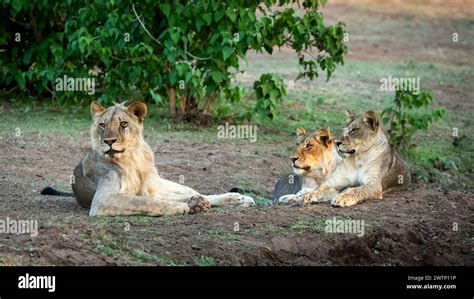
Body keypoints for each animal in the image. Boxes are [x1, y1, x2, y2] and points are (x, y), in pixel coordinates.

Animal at [42, 102, 254, 217]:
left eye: (123, 124)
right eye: (102, 125)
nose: (109, 141)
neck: (132, 158)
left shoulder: (149, 190)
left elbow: (150, 200)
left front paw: (193, 204)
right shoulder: (102, 199)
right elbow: (146, 203)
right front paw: (184, 208)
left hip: (166, 184)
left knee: (196, 192)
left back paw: (240, 198)